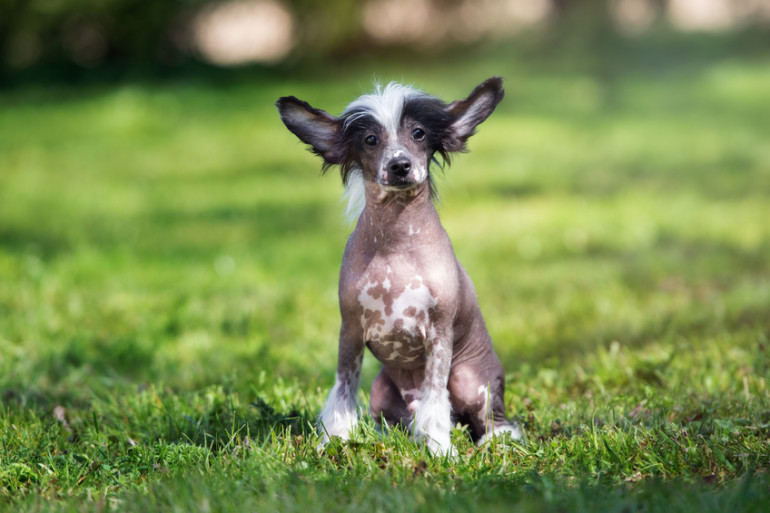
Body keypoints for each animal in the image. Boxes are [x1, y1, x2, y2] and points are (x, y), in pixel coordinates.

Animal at [276, 76, 520, 452]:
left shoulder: (439, 335)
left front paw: (439, 449)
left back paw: (495, 441)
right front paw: (335, 441)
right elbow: (343, 391)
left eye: (418, 133)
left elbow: (435, 399)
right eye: (370, 140)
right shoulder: (350, 331)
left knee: (489, 418)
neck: (396, 244)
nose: (400, 165)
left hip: (469, 381)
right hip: (381, 390)